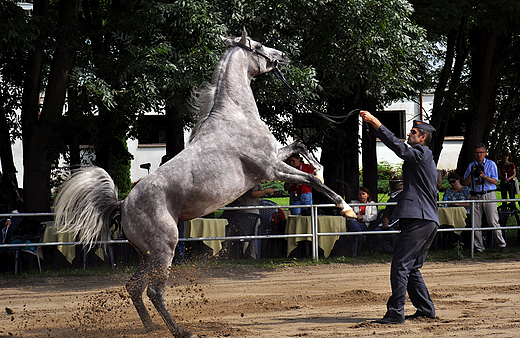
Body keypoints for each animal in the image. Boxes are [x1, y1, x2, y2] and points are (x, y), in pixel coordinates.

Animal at [53, 29, 358, 338]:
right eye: (259, 45)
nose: (283, 56)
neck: (235, 116)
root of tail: (122, 204)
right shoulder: (271, 168)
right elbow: (309, 177)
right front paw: (346, 208)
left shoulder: (274, 159)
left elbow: (301, 146)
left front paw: (320, 168)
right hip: (164, 249)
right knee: (153, 291)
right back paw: (181, 331)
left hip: (147, 255)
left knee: (134, 287)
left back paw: (151, 327)